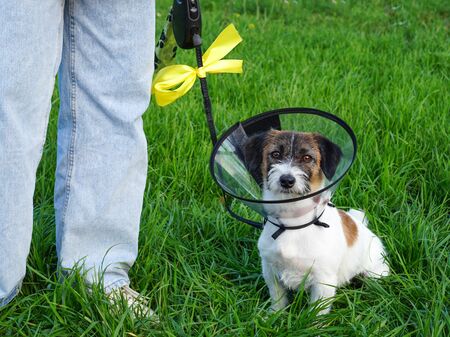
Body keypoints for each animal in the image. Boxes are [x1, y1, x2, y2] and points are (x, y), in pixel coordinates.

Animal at [244, 130, 388, 314]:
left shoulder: (323, 281)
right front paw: (274, 316)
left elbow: (317, 311)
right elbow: (278, 300)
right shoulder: (270, 271)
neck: (294, 222)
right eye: (275, 154)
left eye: (307, 157)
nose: (287, 180)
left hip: (373, 273)